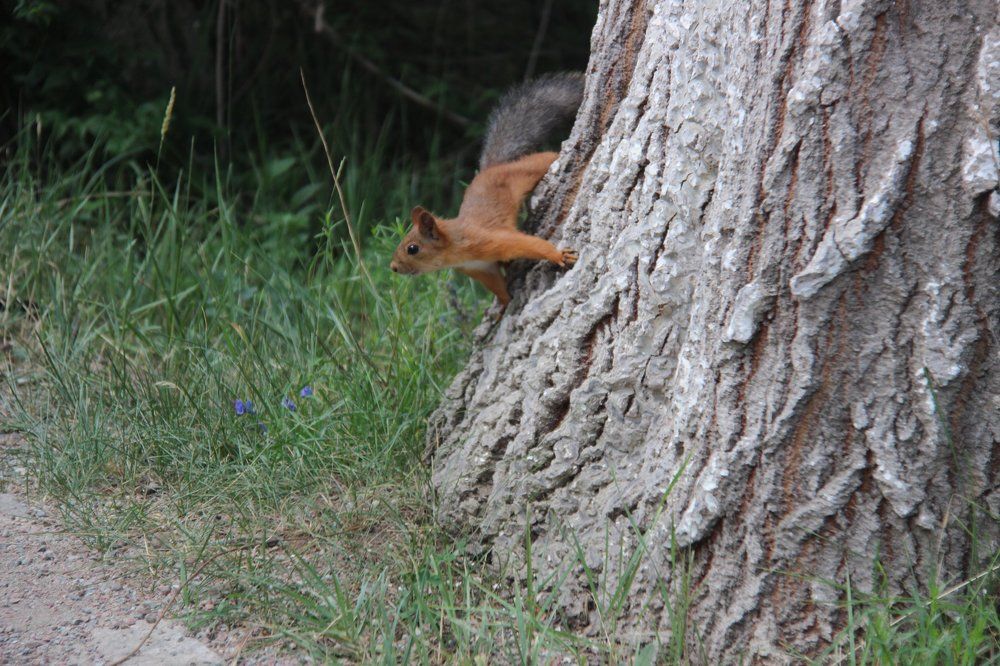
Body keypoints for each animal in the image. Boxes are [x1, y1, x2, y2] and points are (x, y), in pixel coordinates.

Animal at [389, 72, 584, 309]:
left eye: (412, 249)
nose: (393, 267)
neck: (456, 249)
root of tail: (490, 169)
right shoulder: (481, 268)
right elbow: (496, 285)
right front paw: (504, 304)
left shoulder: (493, 240)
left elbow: (529, 244)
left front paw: (557, 255)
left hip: (527, 170)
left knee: (544, 157)